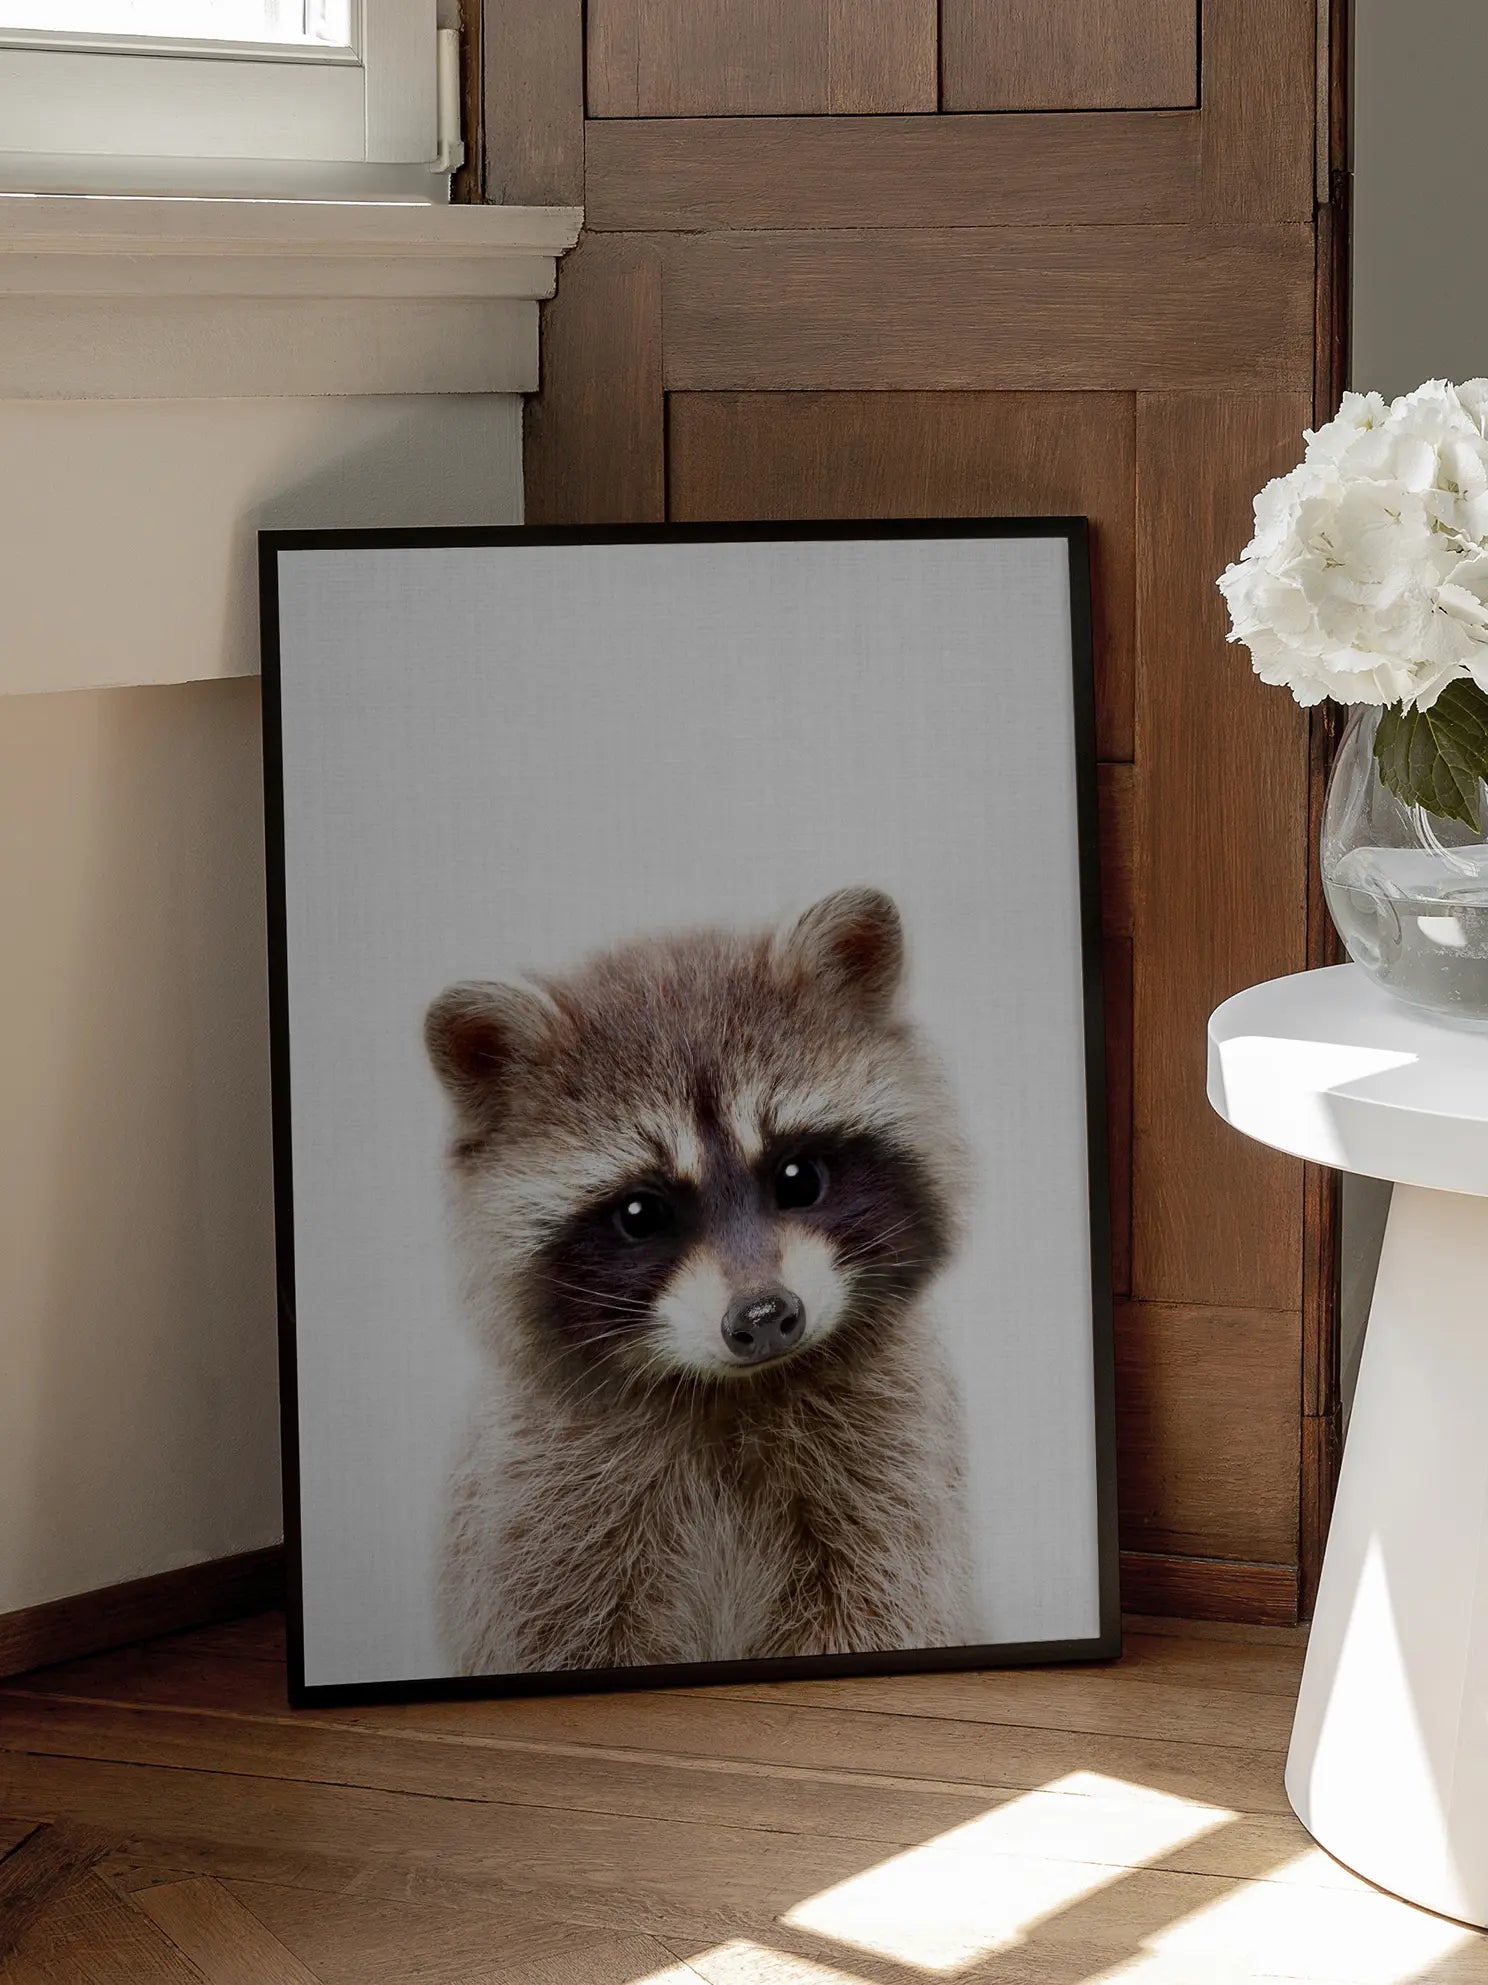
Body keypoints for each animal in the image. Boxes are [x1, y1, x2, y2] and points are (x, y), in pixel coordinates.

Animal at [425, 886, 975, 1676]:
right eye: (640, 1214)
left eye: (798, 1177)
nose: (765, 1315)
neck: (729, 1391)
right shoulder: (539, 1508)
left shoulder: (893, 1471)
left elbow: (885, 1606)